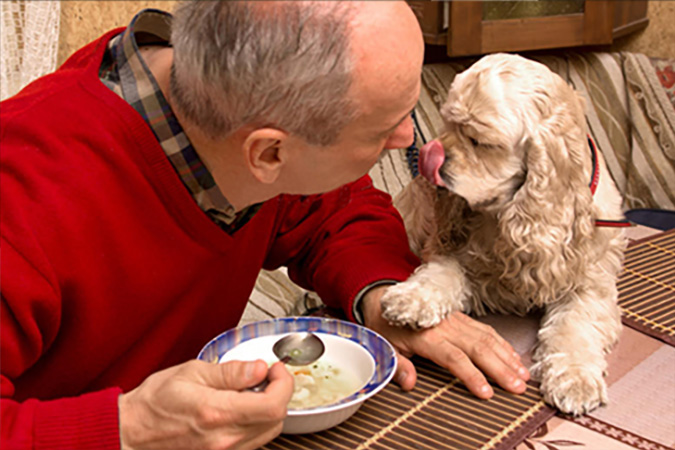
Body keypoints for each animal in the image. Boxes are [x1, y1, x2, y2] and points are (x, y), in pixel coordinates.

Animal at [382, 52, 632, 414]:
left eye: (481, 142)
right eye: (448, 125)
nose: (432, 155)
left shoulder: (591, 284)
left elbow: (575, 325)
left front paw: (575, 379)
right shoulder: (461, 258)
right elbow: (440, 274)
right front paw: (410, 300)